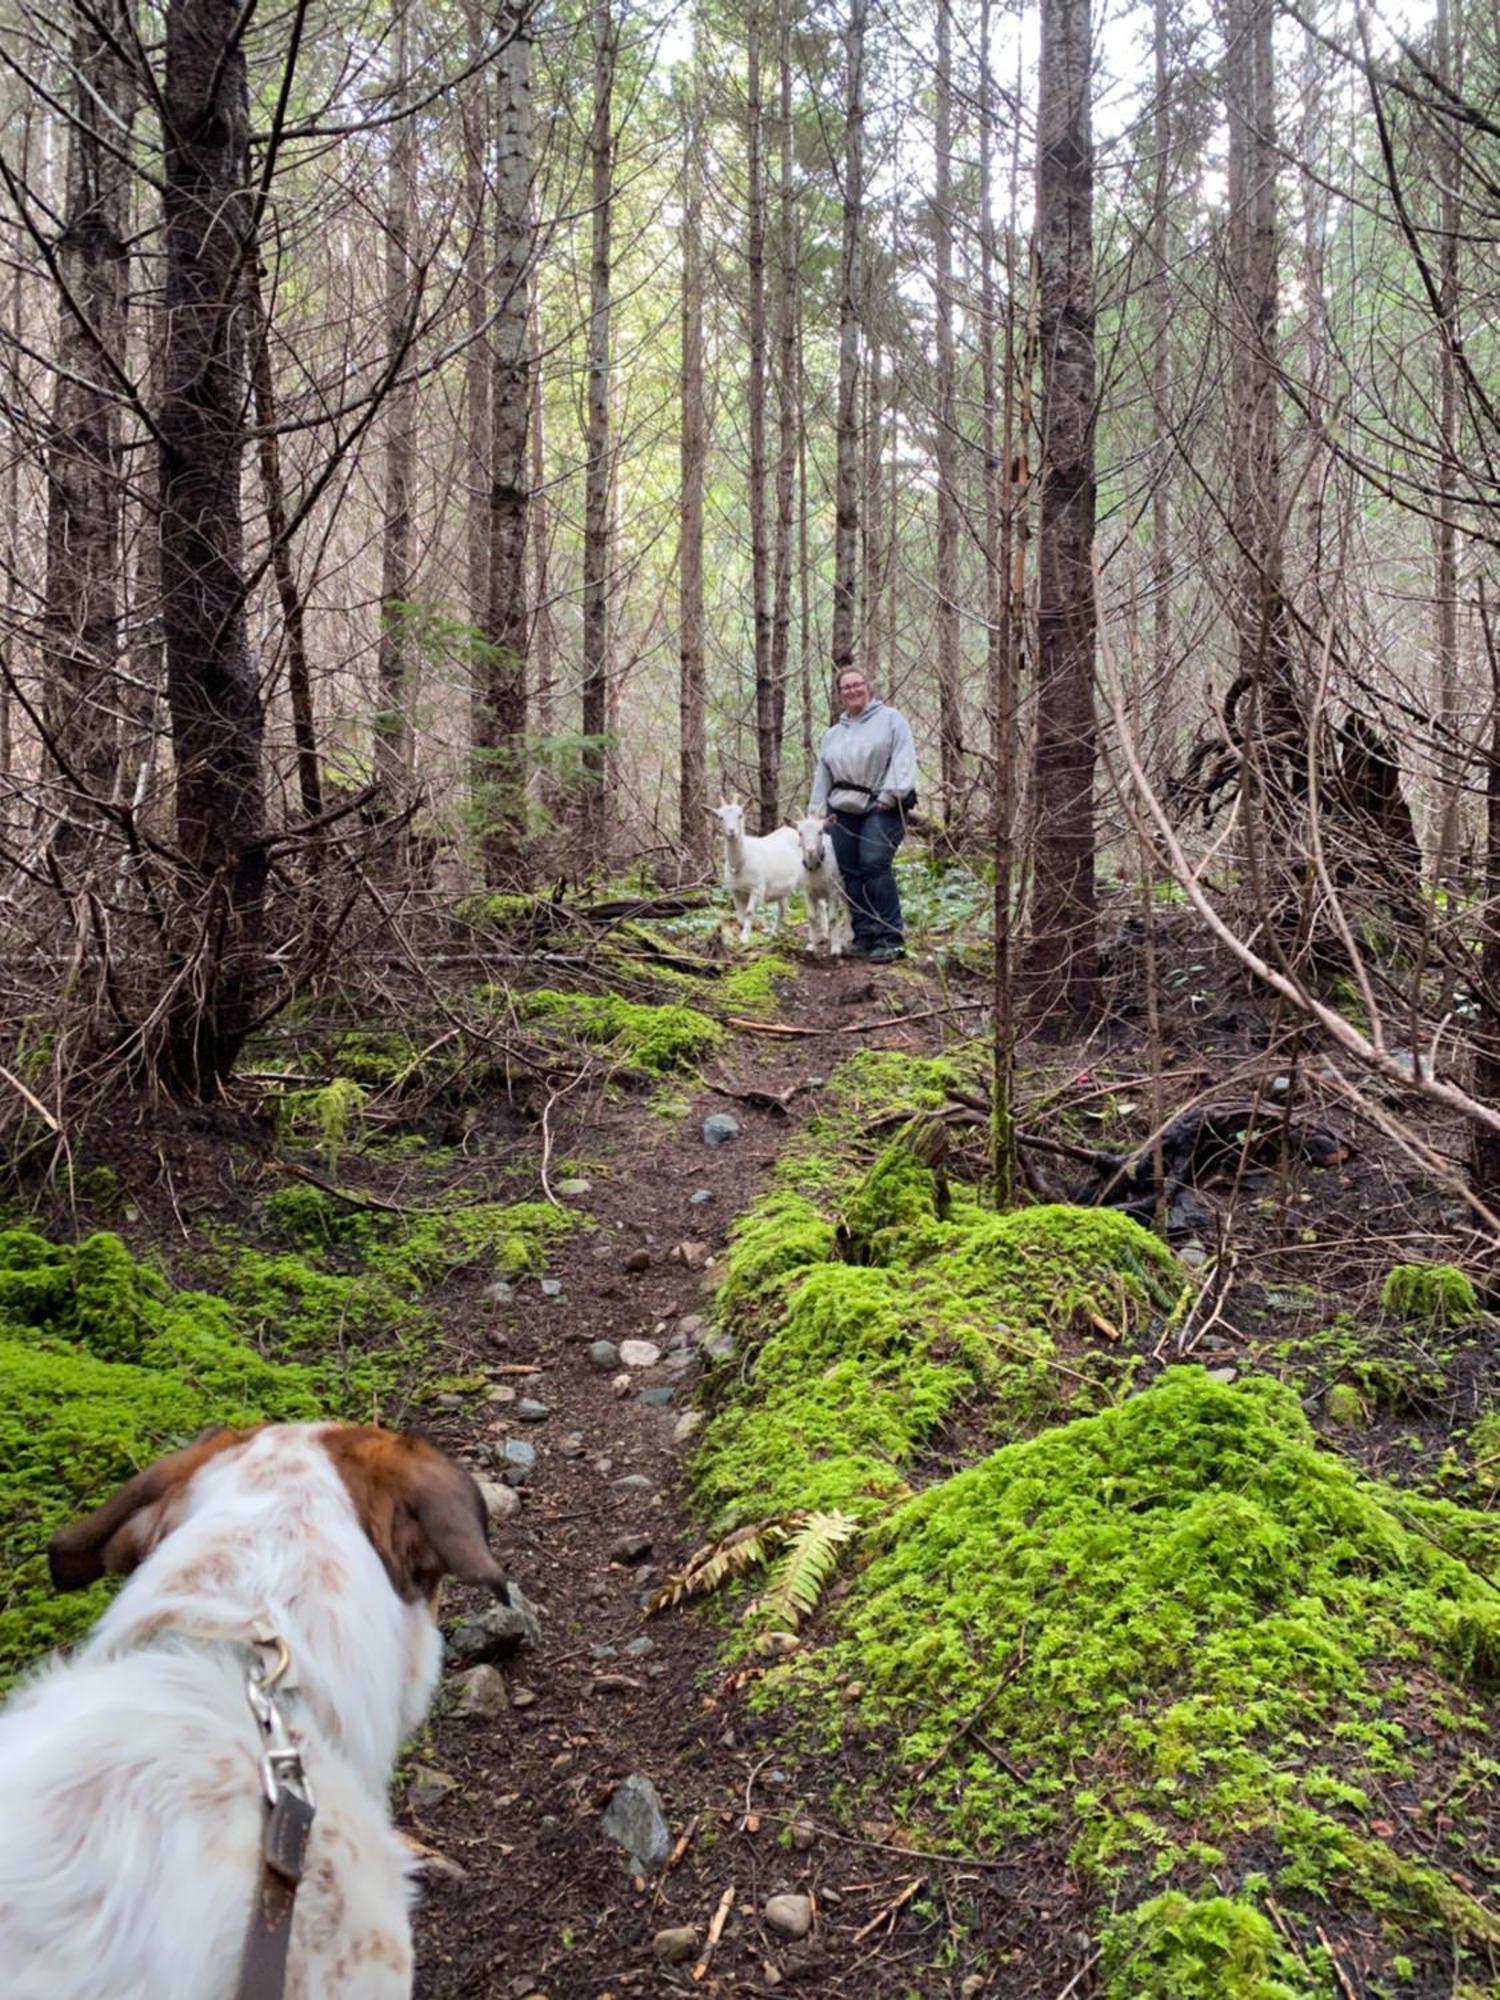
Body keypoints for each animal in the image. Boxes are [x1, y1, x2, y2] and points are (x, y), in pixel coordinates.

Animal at [712, 796, 804, 944]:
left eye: (740, 815)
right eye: (720, 817)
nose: (732, 831)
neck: (742, 861)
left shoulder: (757, 889)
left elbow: (749, 912)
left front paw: (745, 938)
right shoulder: (735, 891)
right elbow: (740, 915)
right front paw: (744, 935)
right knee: (783, 907)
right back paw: (774, 932)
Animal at [792, 820, 852, 960]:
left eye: (820, 832)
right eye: (800, 833)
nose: (810, 851)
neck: (815, 868)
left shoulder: (833, 891)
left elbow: (833, 918)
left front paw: (836, 948)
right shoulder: (807, 891)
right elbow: (811, 917)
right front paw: (811, 946)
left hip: (843, 887)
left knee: (847, 909)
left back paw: (848, 937)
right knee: (823, 906)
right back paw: (825, 934)